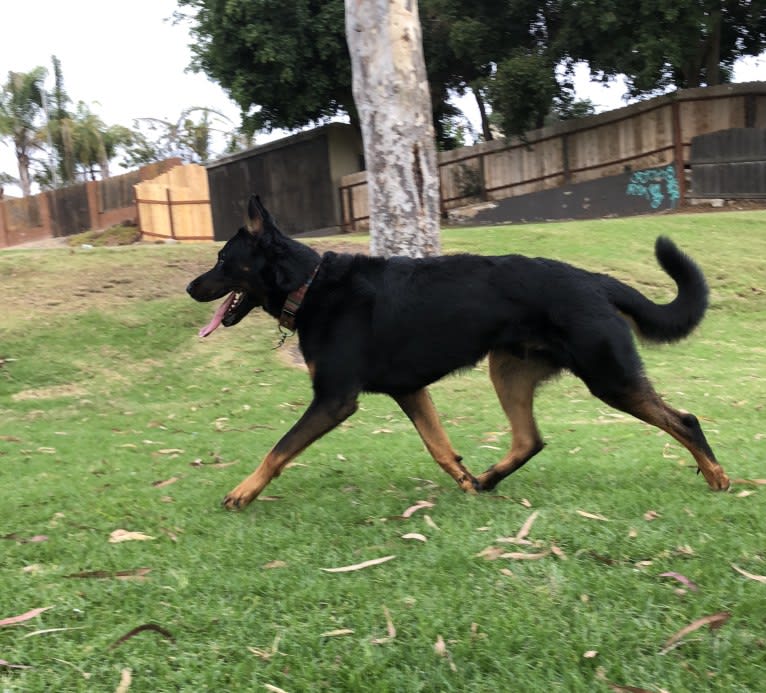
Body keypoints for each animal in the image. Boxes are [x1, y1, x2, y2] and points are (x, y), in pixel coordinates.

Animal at [188, 195, 732, 508]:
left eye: (222, 259)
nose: (192, 288)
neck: (309, 285)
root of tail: (594, 279)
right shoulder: (409, 390)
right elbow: (439, 446)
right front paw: (465, 478)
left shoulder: (334, 399)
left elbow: (279, 449)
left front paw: (243, 491)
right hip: (509, 371)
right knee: (529, 440)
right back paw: (489, 479)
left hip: (608, 375)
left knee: (684, 421)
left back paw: (717, 477)